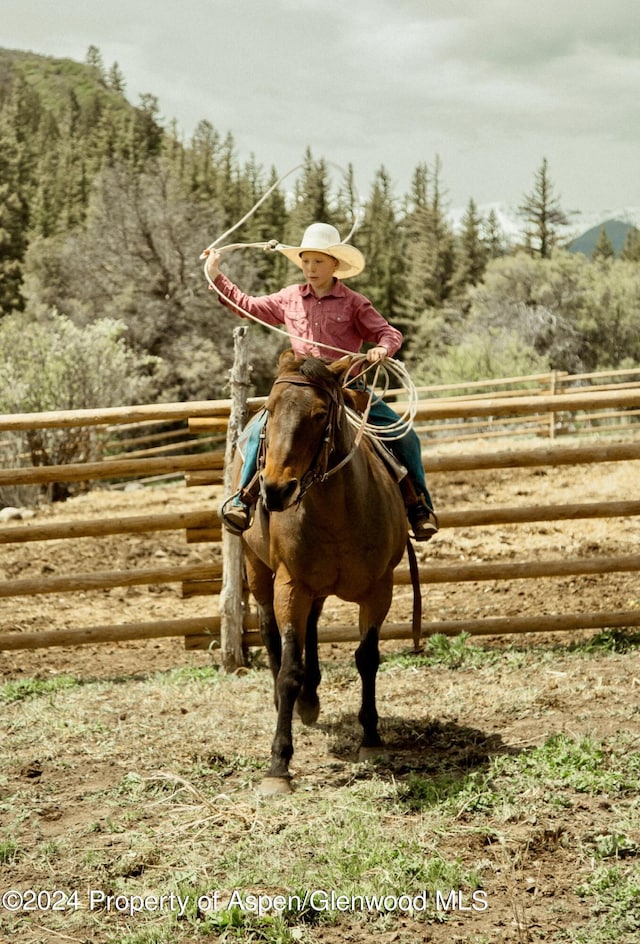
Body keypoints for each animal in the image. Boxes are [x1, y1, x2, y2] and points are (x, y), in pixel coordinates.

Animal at [238, 350, 408, 792]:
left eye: (318, 414)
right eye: (269, 409)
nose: (276, 490)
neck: (338, 510)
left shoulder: (380, 589)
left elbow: (367, 658)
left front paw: (371, 738)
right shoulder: (290, 586)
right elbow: (289, 670)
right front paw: (278, 765)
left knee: (312, 626)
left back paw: (311, 700)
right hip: (257, 570)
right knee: (270, 631)